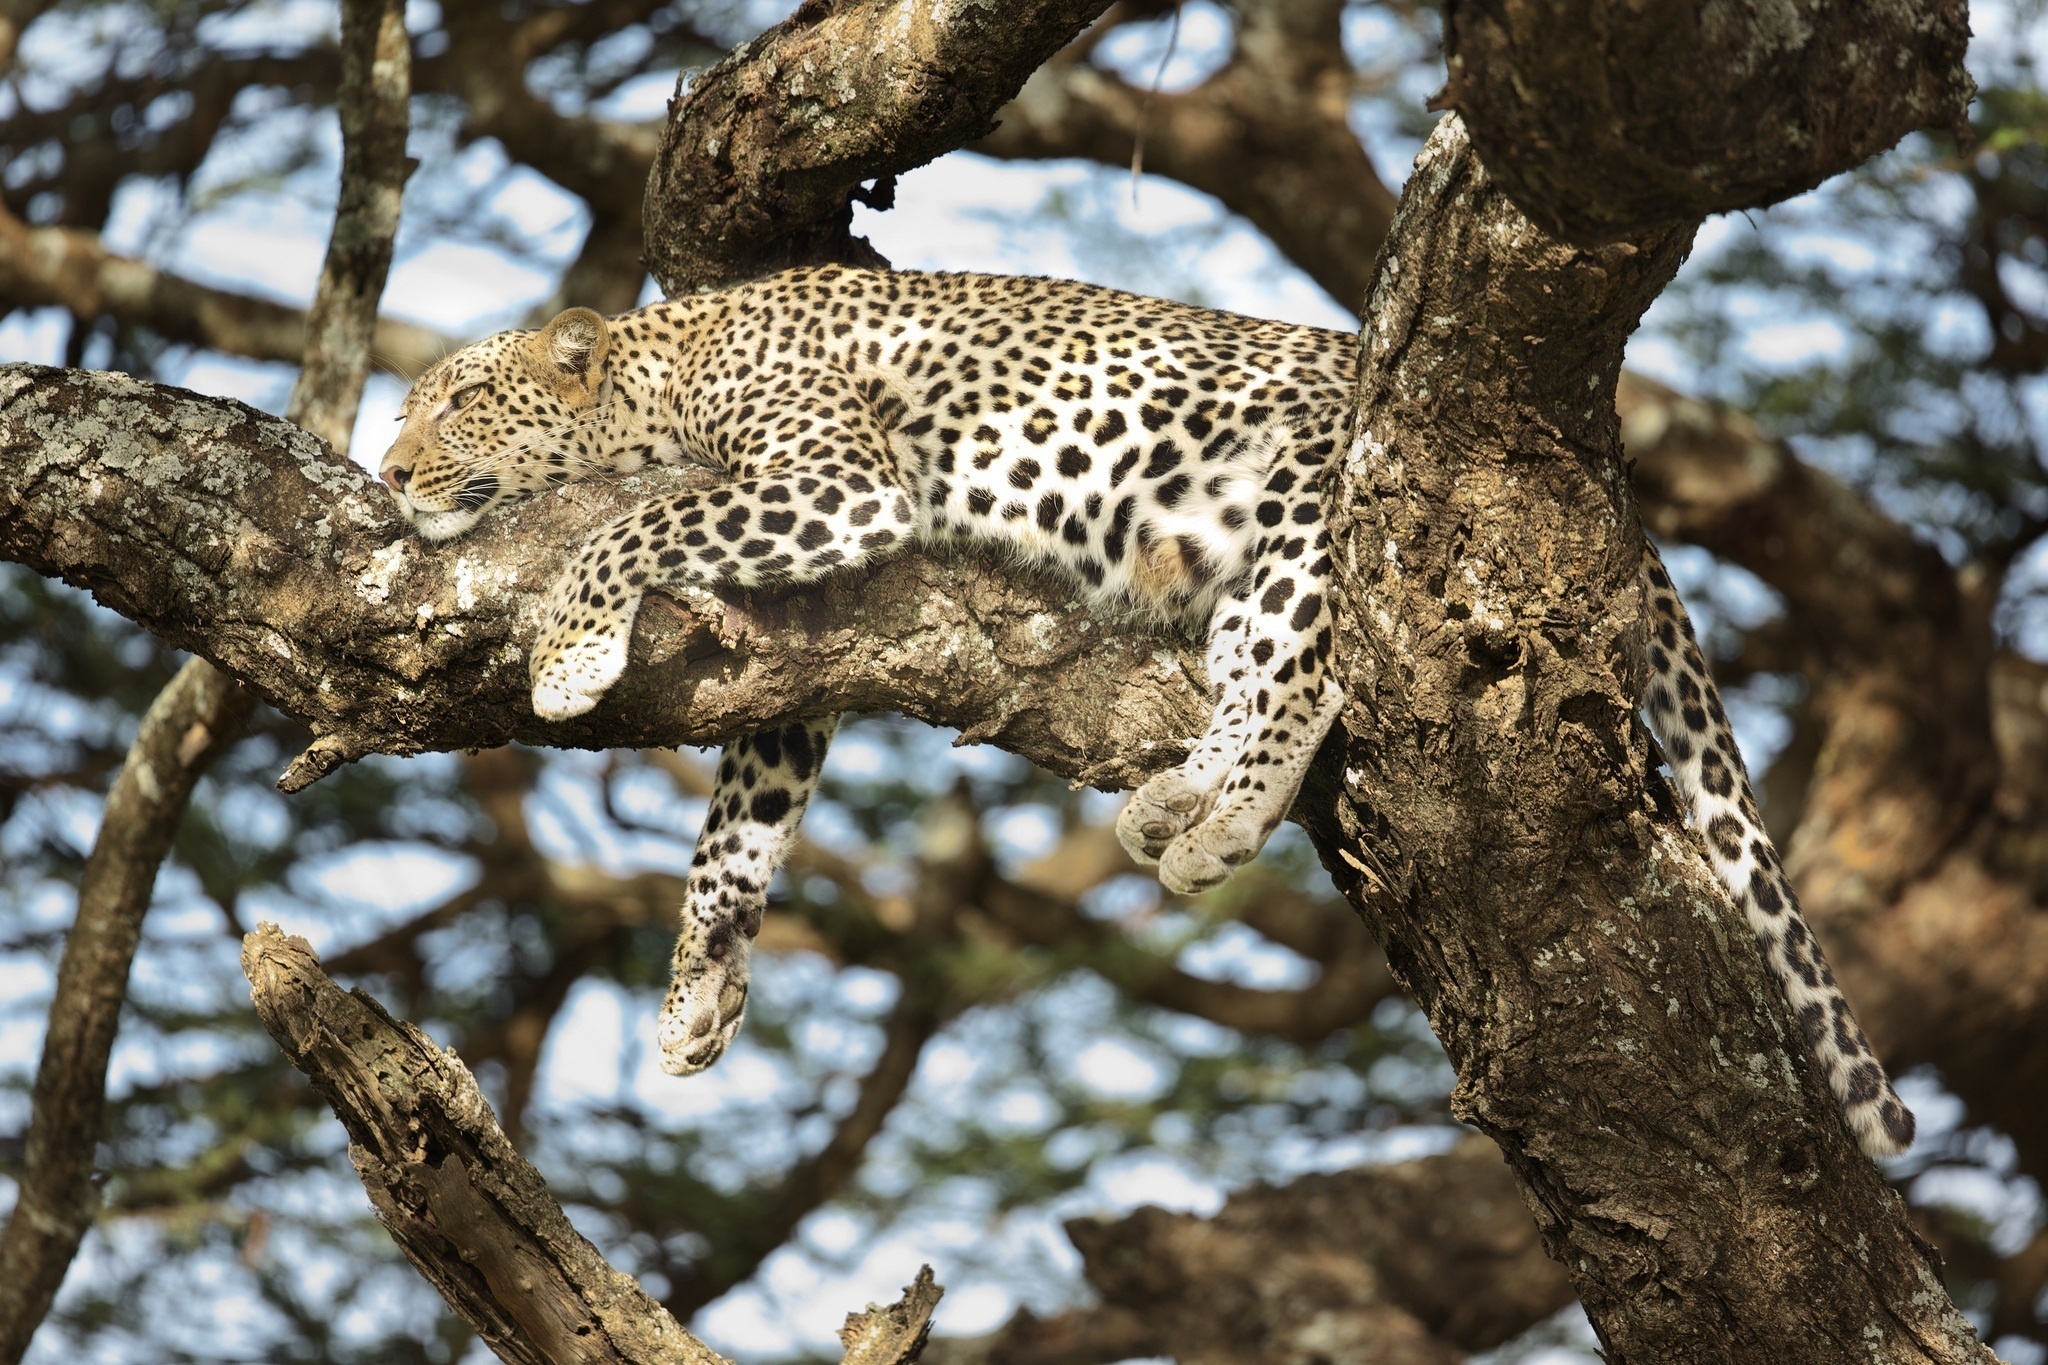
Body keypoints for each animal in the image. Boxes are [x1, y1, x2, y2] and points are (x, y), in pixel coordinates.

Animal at [376, 261, 1908, 1162]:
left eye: (457, 400)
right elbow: (745, 814)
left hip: (1305, 496)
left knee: (1308, 667)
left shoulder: (834, 481)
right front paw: (699, 985)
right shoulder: (811, 629)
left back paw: (1211, 817)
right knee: (1265, 665)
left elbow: (626, 528)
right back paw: (1186, 793)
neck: (657, 378)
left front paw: (571, 648)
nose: (388, 472)